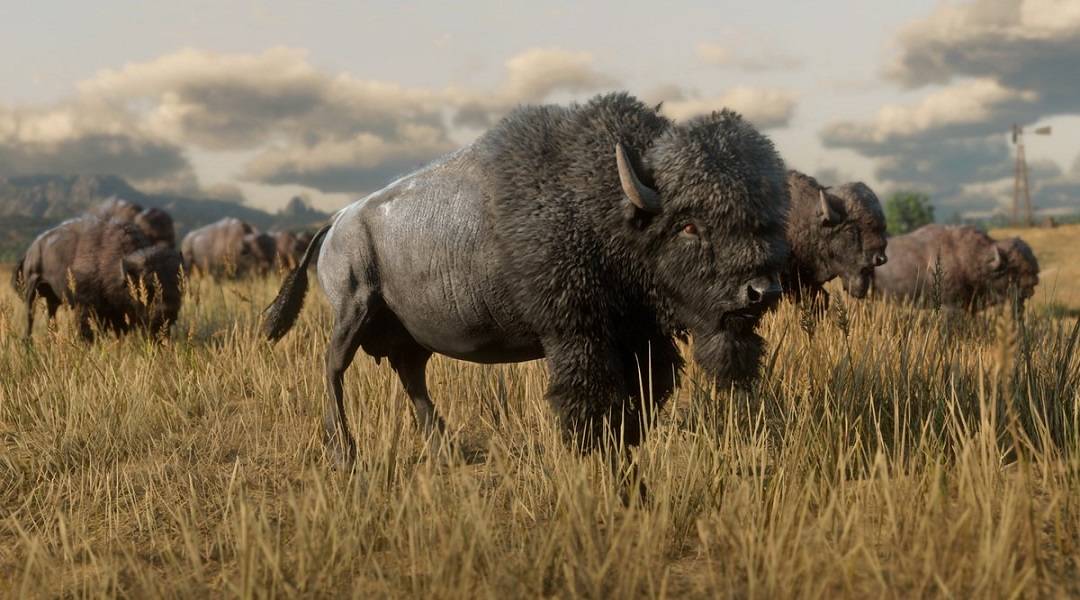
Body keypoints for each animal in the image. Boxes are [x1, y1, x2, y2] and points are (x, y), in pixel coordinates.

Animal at [12, 216, 183, 340]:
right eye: (146, 286)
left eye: (178, 284)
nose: (168, 311)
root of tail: (31, 250)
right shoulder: (85, 308)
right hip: (31, 291)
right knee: (30, 317)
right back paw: (28, 342)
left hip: (53, 299)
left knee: (51, 317)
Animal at [264, 93, 789, 468]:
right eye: (689, 225)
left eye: (765, 219)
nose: (760, 291)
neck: (606, 204)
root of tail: (338, 221)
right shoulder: (576, 335)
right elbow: (588, 396)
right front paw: (595, 451)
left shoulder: (640, 337)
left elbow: (644, 391)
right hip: (352, 311)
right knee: (334, 369)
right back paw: (344, 454)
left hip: (409, 334)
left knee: (411, 376)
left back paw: (444, 450)